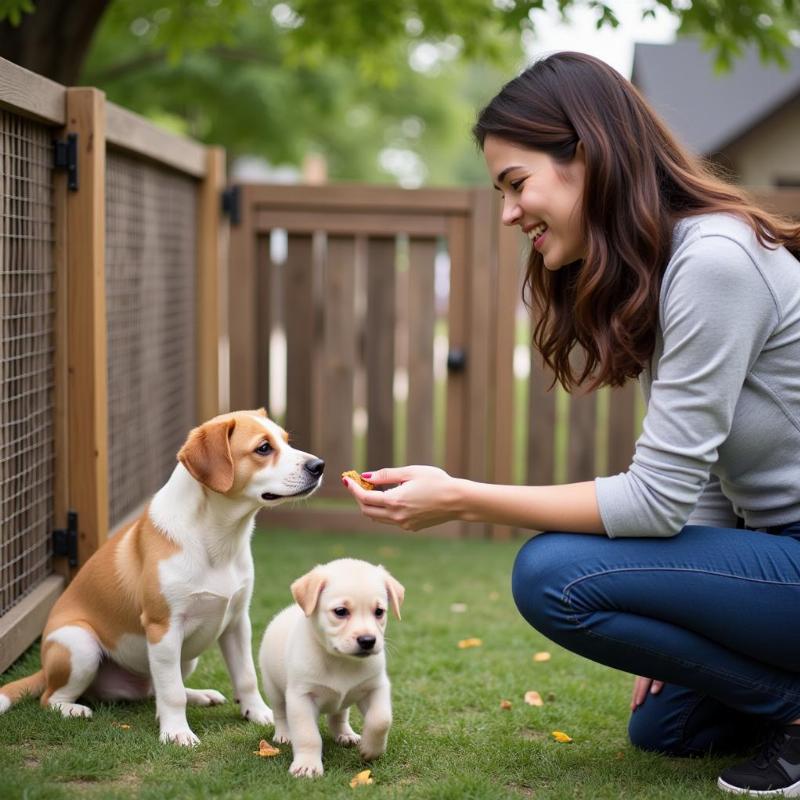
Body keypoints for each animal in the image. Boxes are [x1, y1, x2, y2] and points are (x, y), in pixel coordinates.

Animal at [0, 410, 324, 748]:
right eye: (263, 448)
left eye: (286, 441)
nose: (319, 466)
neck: (218, 539)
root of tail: (44, 669)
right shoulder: (163, 628)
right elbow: (171, 693)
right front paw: (177, 732)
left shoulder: (237, 622)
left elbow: (245, 676)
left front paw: (259, 713)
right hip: (80, 644)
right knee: (52, 698)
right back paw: (73, 709)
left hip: (183, 657)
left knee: (157, 688)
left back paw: (199, 695)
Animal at [260, 560, 404, 780]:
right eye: (341, 611)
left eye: (379, 611)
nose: (368, 641)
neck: (341, 661)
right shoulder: (301, 697)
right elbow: (308, 735)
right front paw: (307, 765)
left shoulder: (375, 687)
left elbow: (381, 720)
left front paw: (371, 750)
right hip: (273, 688)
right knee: (280, 712)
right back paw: (284, 734)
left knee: (338, 715)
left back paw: (346, 735)